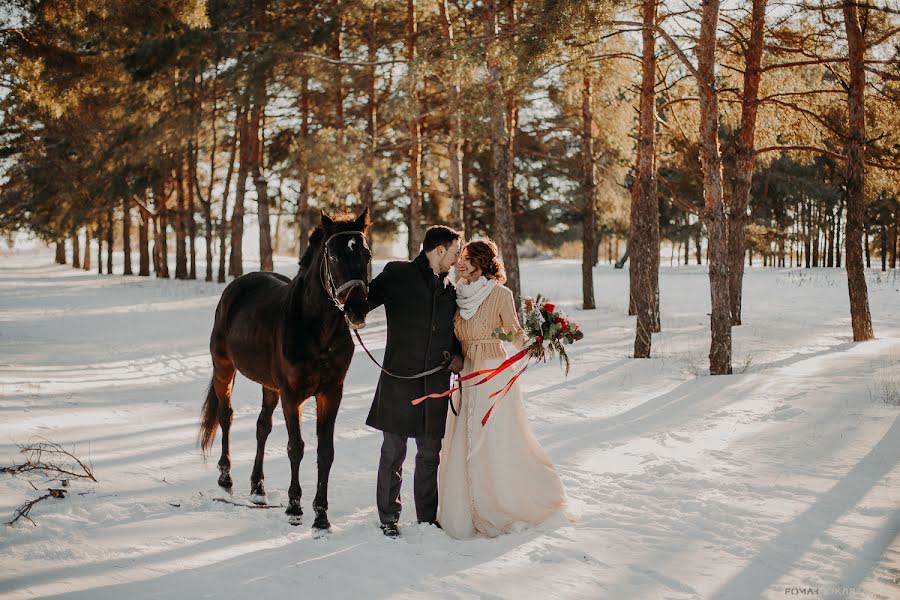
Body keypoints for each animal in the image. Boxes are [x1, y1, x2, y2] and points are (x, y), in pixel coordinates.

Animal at [201, 210, 372, 528]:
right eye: (333, 255)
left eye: (366, 253)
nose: (357, 309)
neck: (319, 333)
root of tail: (236, 285)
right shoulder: (292, 395)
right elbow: (296, 447)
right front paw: (294, 507)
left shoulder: (331, 393)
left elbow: (325, 452)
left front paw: (321, 516)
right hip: (223, 368)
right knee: (226, 416)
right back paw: (225, 477)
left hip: (270, 386)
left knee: (262, 427)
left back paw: (258, 487)